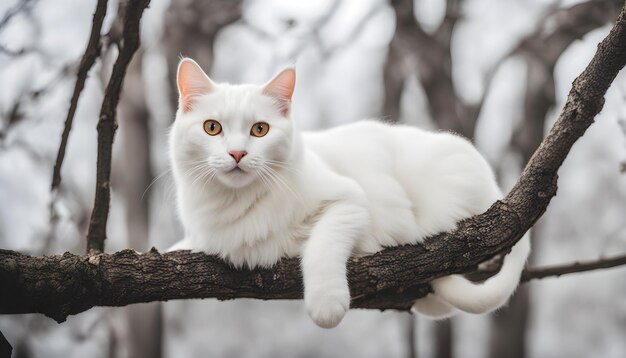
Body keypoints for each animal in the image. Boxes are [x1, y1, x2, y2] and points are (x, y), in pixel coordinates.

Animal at [168, 58, 528, 328]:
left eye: (260, 130)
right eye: (212, 127)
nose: (237, 154)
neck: (234, 201)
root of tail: (495, 187)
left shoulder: (351, 201)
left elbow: (322, 245)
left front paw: (326, 303)